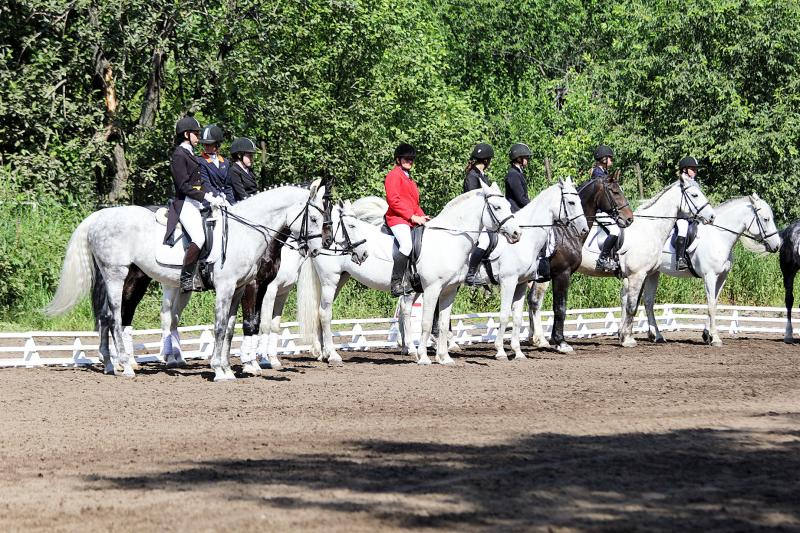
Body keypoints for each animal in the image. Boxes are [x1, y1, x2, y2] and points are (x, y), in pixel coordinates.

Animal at [44, 185, 328, 380]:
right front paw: (221, 370)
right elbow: (221, 326)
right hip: (117, 274)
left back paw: (110, 365)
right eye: (314, 219)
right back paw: (126, 367)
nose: (317, 250)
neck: (245, 232)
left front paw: (228, 368)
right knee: (115, 316)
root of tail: (98, 217)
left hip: (116, 277)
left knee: (105, 316)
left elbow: (230, 328)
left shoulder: (238, 289)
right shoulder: (229, 287)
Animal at [296, 181, 520, 364]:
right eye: (497, 207)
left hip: (340, 279)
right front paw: (423, 357)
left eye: (509, 206)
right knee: (324, 313)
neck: (449, 240)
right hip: (330, 280)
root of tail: (324, 235)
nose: (517, 234)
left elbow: (443, 322)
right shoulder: (432, 289)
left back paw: (323, 354)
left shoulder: (449, 291)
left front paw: (444, 357)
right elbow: (427, 322)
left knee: (319, 312)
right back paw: (333, 355)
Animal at [468, 178, 588, 358]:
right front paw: (501, 350)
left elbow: (518, 316)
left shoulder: (522, 282)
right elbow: (506, 314)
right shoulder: (511, 281)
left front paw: (519, 350)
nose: (584, 229)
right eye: (571, 202)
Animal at [528, 172, 636, 352]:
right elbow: (560, 307)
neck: (568, 231)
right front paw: (561, 342)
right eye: (615, 192)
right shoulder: (562, 274)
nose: (629, 219)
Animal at [644, 193, 780, 348]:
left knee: (648, 302)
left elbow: (714, 303)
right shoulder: (709, 276)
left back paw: (655, 335)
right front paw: (715, 338)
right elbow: (710, 305)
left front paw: (706, 334)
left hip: (652, 273)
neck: (719, 236)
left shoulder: (721, 277)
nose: (777, 245)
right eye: (766, 219)